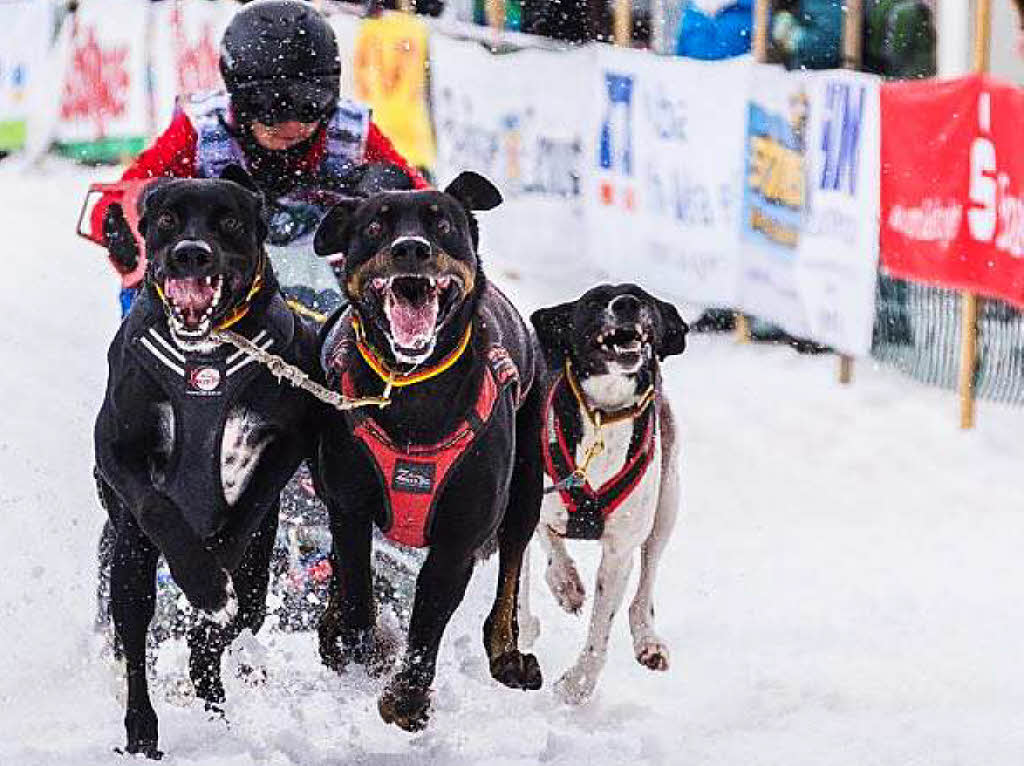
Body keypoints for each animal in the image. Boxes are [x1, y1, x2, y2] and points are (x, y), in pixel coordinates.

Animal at [96, 171, 321, 757]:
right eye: (167, 219)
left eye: (230, 222)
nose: (190, 254)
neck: (204, 360)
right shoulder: (117, 447)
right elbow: (155, 503)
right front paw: (201, 580)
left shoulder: (286, 443)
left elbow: (246, 512)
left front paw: (213, 575)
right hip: (129, 562)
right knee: (135, 632)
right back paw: (141, 729)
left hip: (259, 579)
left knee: (227, 628)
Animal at [313, 172, 544, 729]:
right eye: (375, 226)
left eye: (442, 223)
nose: (411, 249)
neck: (413, 393)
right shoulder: (349, 507)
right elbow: (356, 588)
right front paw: (363, 645)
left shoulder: (459, 536)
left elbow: (430, 614)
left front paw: (407, 696)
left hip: (526, 486)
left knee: (511, 563)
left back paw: (507, 654)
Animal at [520, 286, 688, 704]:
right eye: (595, 300)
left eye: (645, 298)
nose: (628, 303)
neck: (603, 417)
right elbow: (540, 555)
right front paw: (563, 583)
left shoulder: (619, 551)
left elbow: (601, 630)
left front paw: (577, 684)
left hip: (667, 505)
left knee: (645, 586)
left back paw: (648, 640)